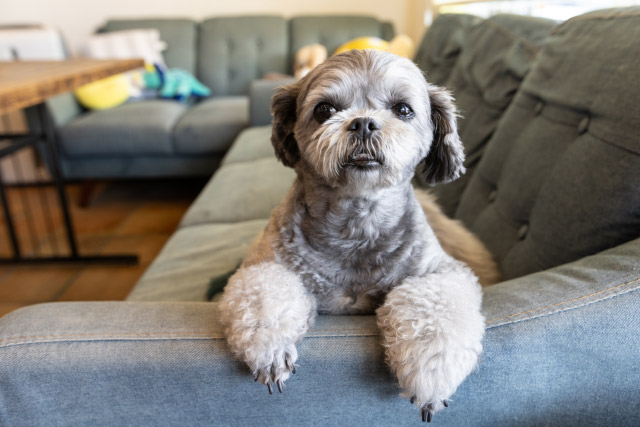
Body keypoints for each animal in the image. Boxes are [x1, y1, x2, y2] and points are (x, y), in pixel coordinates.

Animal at [220, 48, 500, 422]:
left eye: (403, 109)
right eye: (324, 109)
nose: (364, 122)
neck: (356, 223)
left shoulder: (441, 273)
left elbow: (434, 310)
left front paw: (431, 374)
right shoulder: (265, 264)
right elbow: (263, 296)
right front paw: (270, 349)